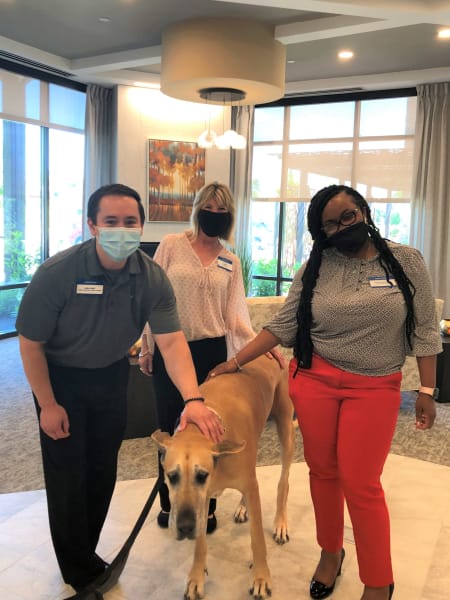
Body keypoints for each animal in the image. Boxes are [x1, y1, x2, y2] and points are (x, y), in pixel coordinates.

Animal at [153, 354, 298, 600]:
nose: (184, 527)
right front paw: (196, 577)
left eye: (202, 475)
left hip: (286, 428)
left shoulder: (246, 487)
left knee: (284, 483)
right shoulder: (202, 501)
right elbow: (200, 543)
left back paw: (280, 523)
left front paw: (261, 578)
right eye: (172, 477)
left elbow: (257, 539)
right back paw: (242, 507)